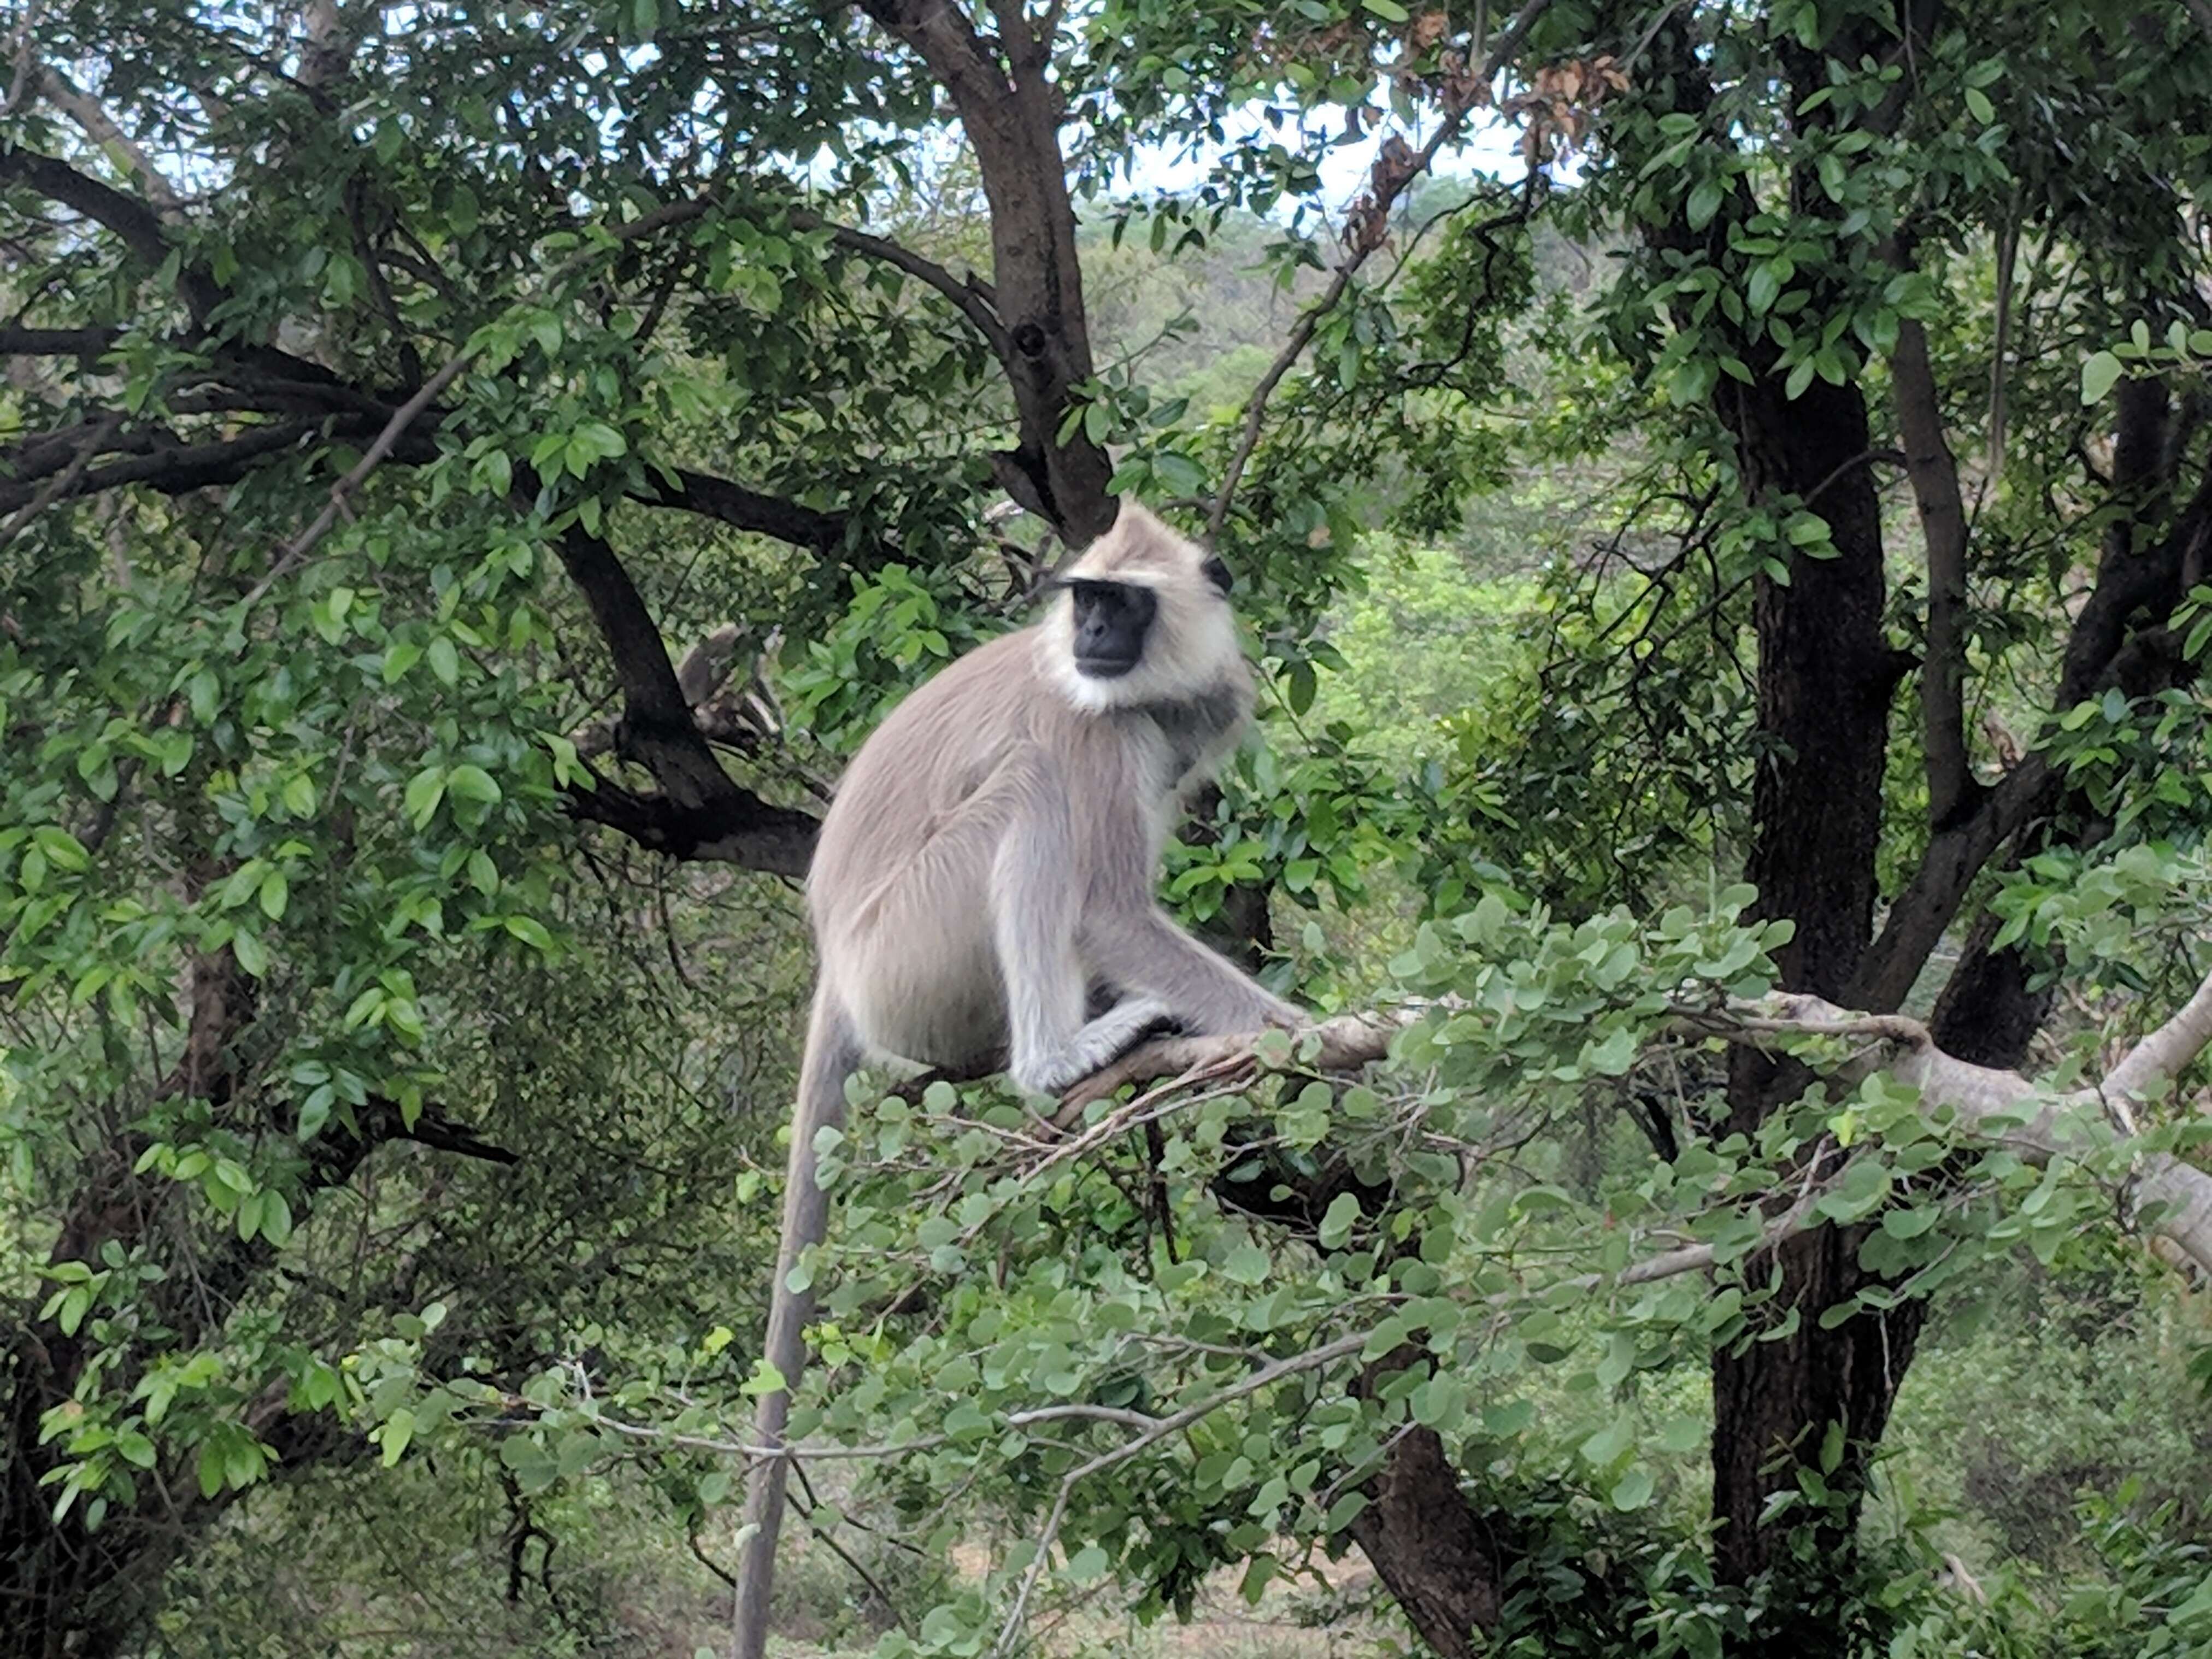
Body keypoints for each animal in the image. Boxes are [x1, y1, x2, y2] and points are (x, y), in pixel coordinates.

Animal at [734, 499, 1301, 1654]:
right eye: (1084, 600)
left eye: (1119, 603)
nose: (1090, 637)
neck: (1151, 691)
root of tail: (834, 962)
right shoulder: (1092, 725)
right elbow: (1111, 912)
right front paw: (1349, 1033)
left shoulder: (1193, 715)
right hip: (911, 949)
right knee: (1033, 790)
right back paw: (1057, 1061)